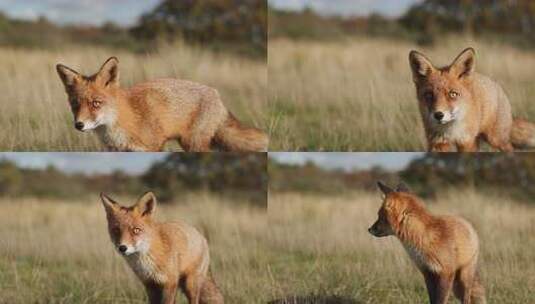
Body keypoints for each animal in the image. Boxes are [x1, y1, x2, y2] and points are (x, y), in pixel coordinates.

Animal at [55, 57, 268, 152]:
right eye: (75, 104)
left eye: (96, 103)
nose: (79, 125)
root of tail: (217, 95)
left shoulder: (153, 147)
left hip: (194, 144)